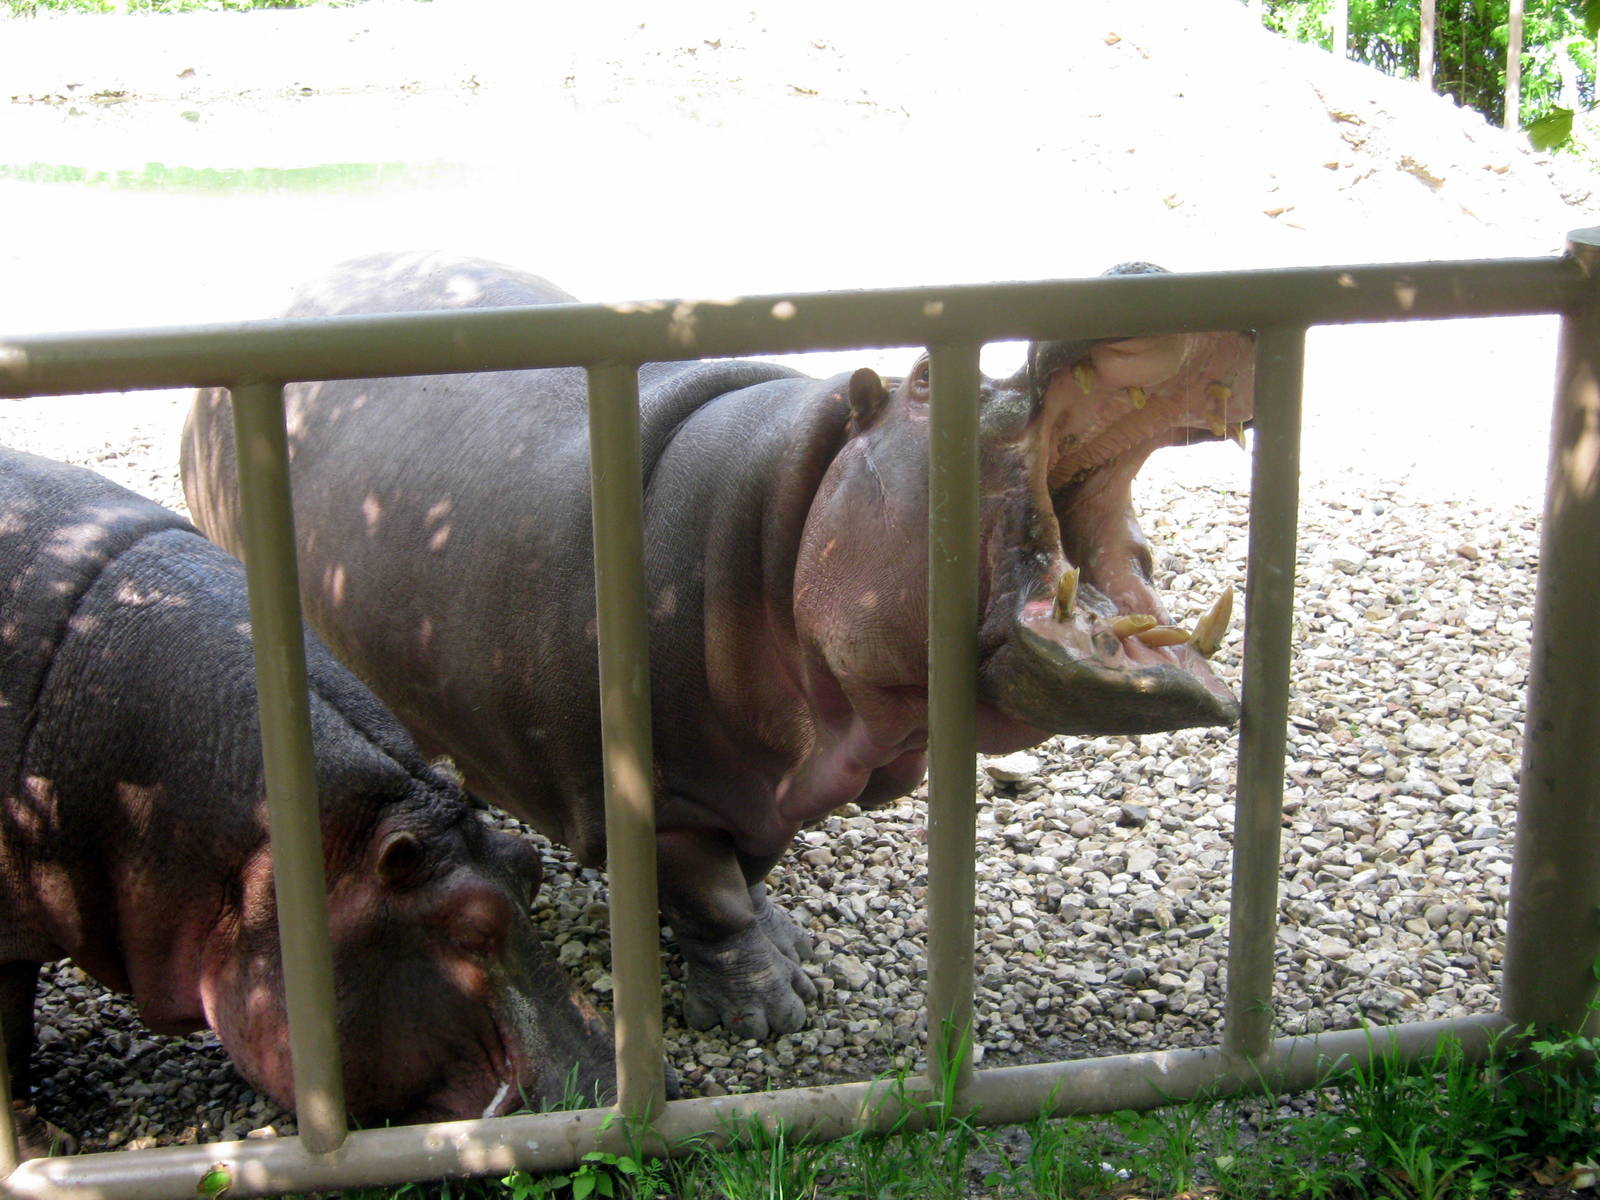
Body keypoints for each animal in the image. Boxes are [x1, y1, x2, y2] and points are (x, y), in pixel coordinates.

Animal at [181, 252, 1255, 1039]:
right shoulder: (663, 800)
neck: (782, 521)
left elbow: (754, 876)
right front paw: (768, 1013)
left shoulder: (763, 781)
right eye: (922, 380)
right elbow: (718, 899)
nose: (1140, 267)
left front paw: (793, 953)